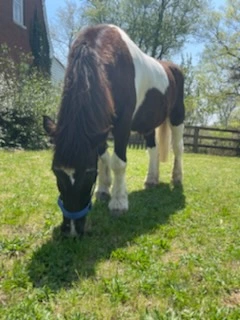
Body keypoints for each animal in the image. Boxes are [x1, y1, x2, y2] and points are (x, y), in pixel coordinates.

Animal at [43, 23, 186, 238]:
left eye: (88, 173)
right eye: (56, 171)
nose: (72, 229)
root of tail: (173, 68)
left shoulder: (122, 126)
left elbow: (118, 163)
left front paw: (118, 203)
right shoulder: (99, 127)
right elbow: (104, 158)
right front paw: (103, 190)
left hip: (178, 116)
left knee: (178, 148)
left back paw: (176, 178)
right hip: (149, 124)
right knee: (153, 150)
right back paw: (151, 179)